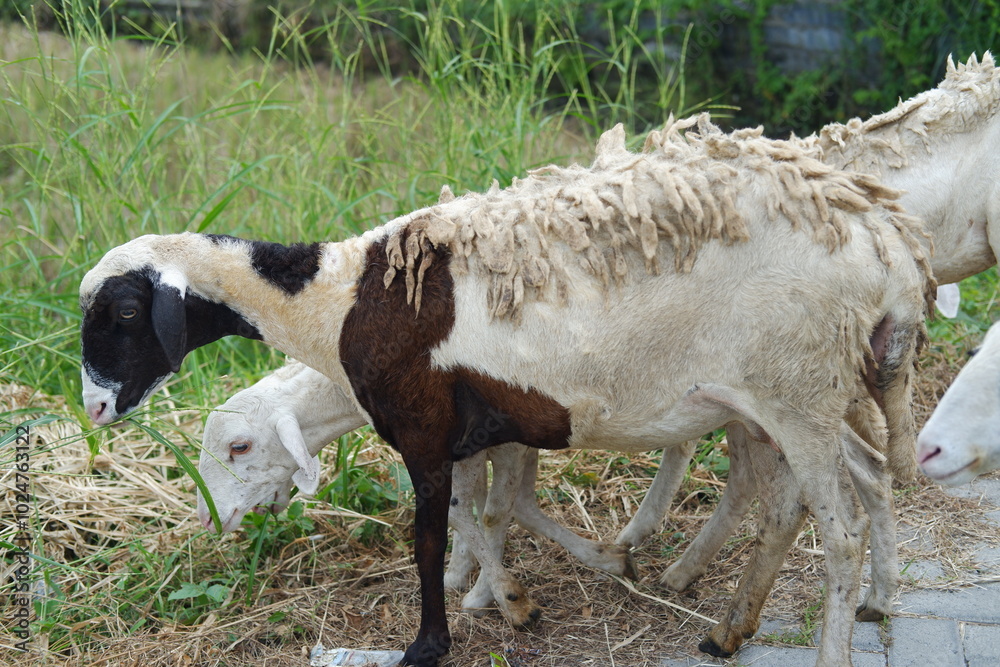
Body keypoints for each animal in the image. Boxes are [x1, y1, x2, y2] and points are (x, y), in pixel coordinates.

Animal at [196, 359, 636, 627]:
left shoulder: (501, 437)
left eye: (240, 446)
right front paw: (461, 574)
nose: (207, 519)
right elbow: (475, 505)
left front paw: (502, 597)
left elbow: (491, 509)